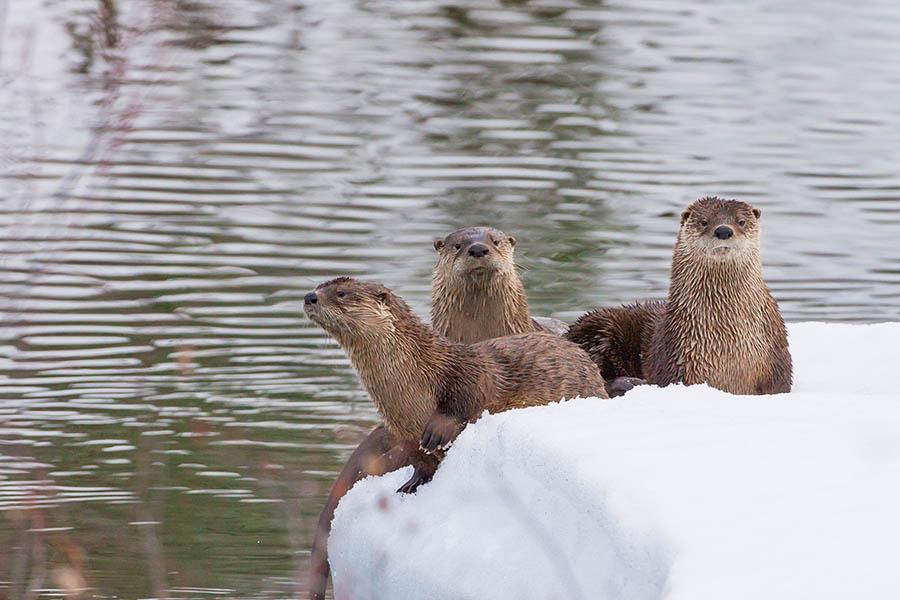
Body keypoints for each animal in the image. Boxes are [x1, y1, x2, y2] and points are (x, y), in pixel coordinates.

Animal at [566, 196, 792, 395]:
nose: (723, 230)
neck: (728, 337)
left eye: (741, 221)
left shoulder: (777, 358)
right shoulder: (676, 359)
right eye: (704, 221)